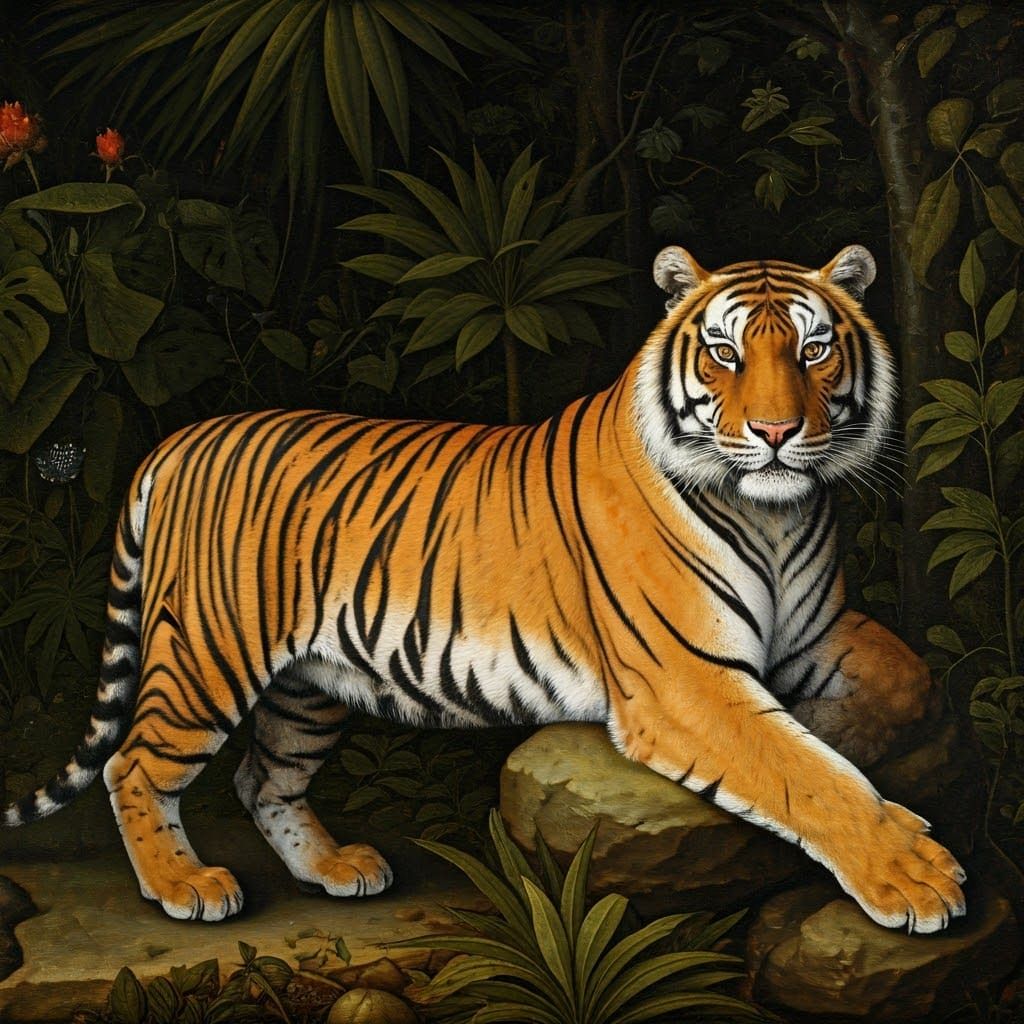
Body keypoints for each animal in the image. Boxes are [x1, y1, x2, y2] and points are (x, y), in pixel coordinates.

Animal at [3, 245, 965, 933]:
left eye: (815, 349)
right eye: (725, 354)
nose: (774, 432)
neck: (776, 513)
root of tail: (181, 437)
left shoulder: (812, 632)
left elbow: (904, 680)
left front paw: (842, 730)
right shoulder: (687, 680)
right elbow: (804, 777)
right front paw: (919, 880)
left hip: (307, 683)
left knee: (262, 778)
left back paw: (337, 870)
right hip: (210, 655)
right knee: (135, 762)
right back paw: (185, 885)